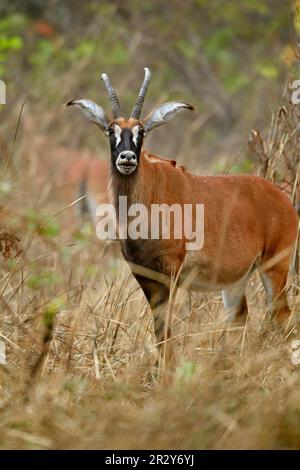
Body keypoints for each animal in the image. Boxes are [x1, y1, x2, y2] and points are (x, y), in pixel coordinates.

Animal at [67, 67, 298, 364]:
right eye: (110, 130)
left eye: (141, 130)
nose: (127, 158)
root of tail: (283, 199)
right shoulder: (144, 275)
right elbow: (159, 329)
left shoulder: (170, 273)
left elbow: (165, 329)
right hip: (237, 279)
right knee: (240, 317)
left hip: (274, 266)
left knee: (282, 316)